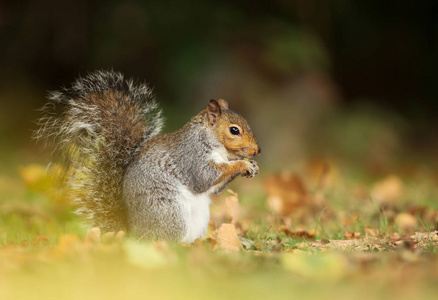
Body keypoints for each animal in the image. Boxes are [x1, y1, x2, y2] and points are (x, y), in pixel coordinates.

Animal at [36, 69, 260, 241]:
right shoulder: (191, 157)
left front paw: (252, 166)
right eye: (234, 130)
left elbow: (215, 189)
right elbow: (205, 177)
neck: (217, 146)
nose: (258, 151)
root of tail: (134, 233)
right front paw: (242, 165)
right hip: (170, 212)